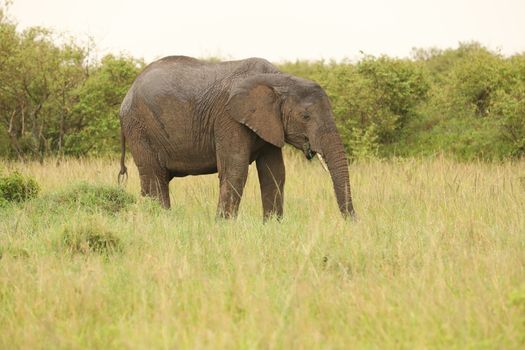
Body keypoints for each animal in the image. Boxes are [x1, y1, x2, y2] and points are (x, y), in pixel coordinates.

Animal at [118, 55, 356, 220]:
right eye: (305, 117)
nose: (352, 222)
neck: (278, 79)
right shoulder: (228, 117)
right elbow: (235, 169)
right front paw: (223, 226)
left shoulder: (268, 123)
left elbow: (275, 173)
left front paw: (272, 226)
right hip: (140, 127)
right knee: (155, 178)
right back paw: (162, 222)